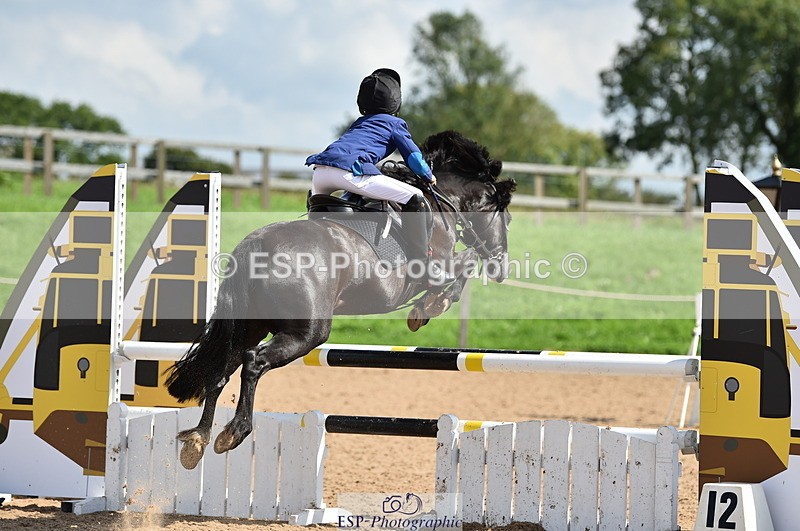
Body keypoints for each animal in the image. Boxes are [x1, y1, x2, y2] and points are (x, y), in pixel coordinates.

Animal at [165, 130, 516, 469]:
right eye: (507, 219)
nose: (500, 268)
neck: (441, 204)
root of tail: (256, 245)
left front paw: (427, 307)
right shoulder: (439, 266)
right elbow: (465, 265)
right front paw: (429, 307)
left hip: (248, 327)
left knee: (221, 369)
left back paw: (198, 439)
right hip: (308, 332)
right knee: (254, 362)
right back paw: (235, 431)